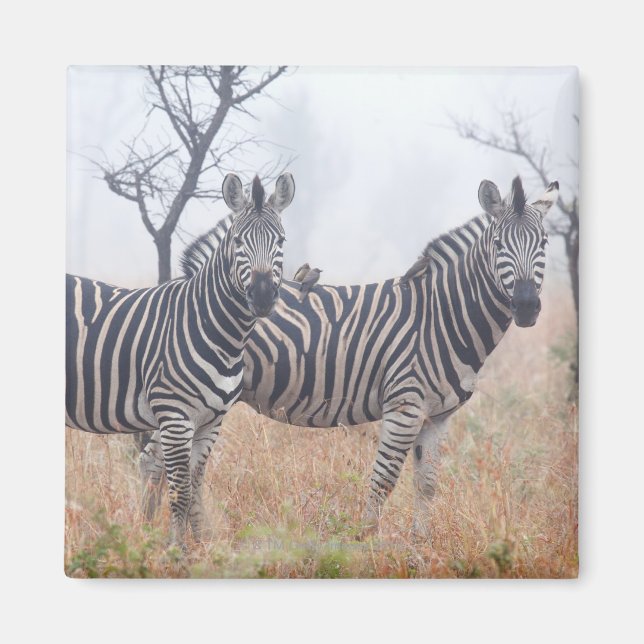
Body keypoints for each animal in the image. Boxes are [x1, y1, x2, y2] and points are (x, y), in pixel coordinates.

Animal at [66, 172, 296, 546]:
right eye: (237, 242)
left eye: (281, 240)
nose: (262, 297)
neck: (216, 332)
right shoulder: (174, 417)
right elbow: (180, 492)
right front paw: (175, 550)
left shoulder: (211, 422)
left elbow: (195, 484)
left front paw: (198, 549)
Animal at [140, 176, 558, 539]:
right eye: (499, 245)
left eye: (544, 243)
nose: (526, 306)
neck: (442, 315)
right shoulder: (404, 406)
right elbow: (383, 480)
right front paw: (367, 540)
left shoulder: (437, 417)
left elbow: (426, 483)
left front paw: (420, 545)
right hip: (190, 396)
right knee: (159, 461)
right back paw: (166, 536)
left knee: (163, 462)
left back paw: (172, 534)